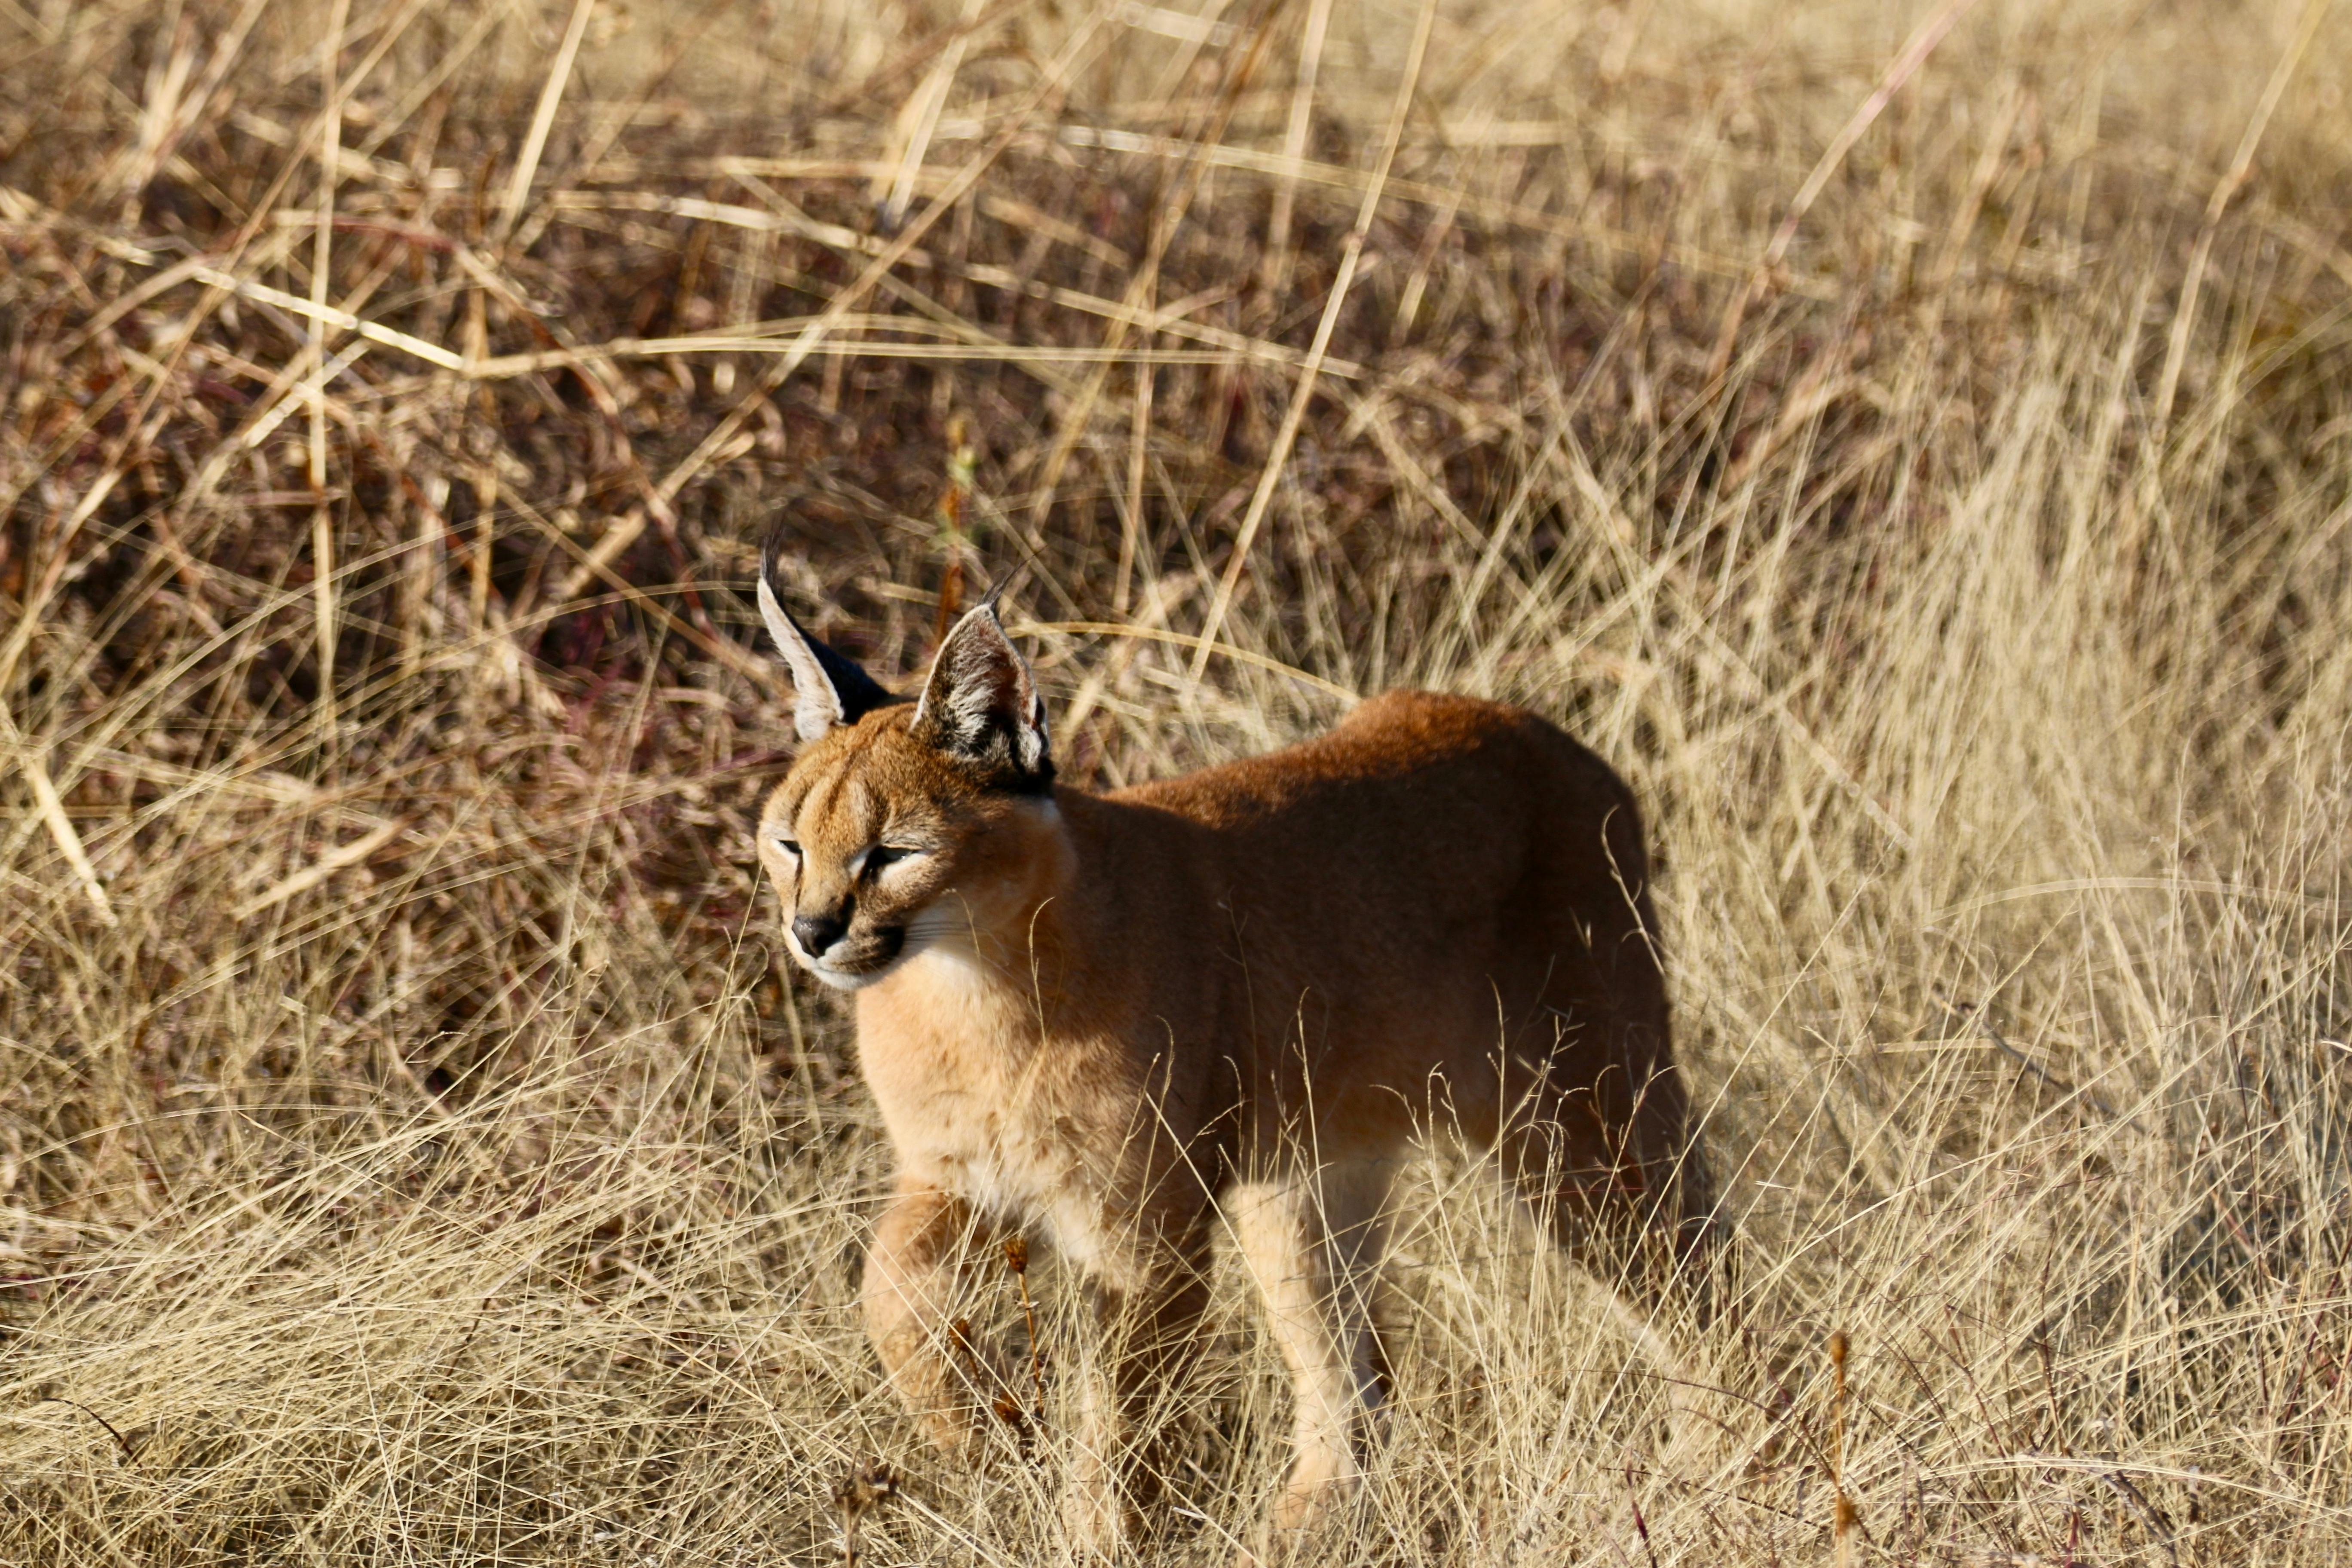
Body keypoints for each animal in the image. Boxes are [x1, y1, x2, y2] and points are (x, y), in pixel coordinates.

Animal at [753, 554, 1712, 1561]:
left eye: (893, 853)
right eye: (788, 843)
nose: (811, 932)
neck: (969, 985)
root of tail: (1543, 733)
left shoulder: (1143, 1229)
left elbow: (1121, 1419)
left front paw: (1094, 1536)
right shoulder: (953, 1175)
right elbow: (888, 1294)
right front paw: (978, 1431)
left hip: (1577, 1123)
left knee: (1704, 1291)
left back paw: (1705, 1476)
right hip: (1303, 1180)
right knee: (1355, 1377)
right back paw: (1299, 1529)